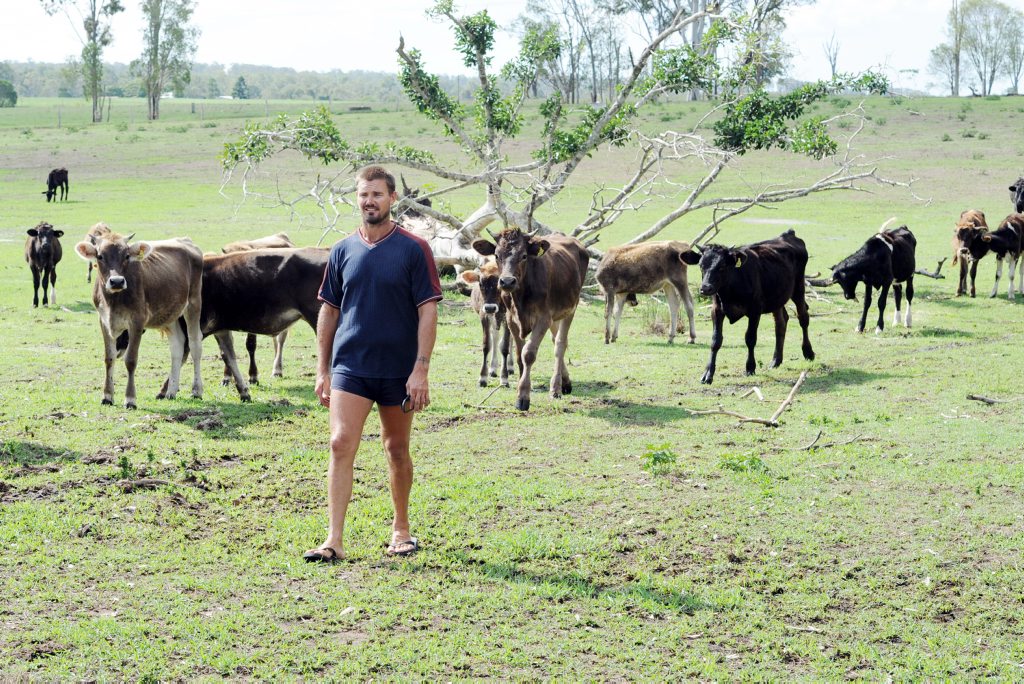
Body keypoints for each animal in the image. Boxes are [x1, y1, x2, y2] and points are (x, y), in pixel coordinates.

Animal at [75, 232, 203, 409]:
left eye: (127, 256)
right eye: (100, 256)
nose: (116, 281)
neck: (113, 301)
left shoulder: (137, 322)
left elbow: (130, 360)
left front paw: (130, 399)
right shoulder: (104, 321)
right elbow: (109, 358)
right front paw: (107, 396)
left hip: (193, 303)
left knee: (195, 344)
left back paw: (196, 390)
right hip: (170, 313)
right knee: (177, 346)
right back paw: (171, 391)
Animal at [456, 254, 512, 387]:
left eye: (500, 282)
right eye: (480, 284)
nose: (490, 307)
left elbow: (505, 346)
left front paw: (504, 378)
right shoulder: (484, 316)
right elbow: (487, 345)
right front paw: (483, 377)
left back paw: (510, 367)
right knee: (495, 338)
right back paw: (493, 368)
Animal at [468, 229, 585, 411]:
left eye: (524, 256)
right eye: (496, 255)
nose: (507, 281)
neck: (521, 295)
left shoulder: (543, 319)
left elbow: (528, 353)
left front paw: (523, 396)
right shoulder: (512, 320)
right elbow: (518, 355)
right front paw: (519, 387)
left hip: (571, 307)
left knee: (560, 344)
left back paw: (556, 388)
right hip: (555, 316)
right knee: (555, 339)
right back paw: (565, 382)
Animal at [679, 227, 815, 382]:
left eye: (722, 266)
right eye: (701, 266)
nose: (706, 288)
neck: (730, 291)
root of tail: (788, 234)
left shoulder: (755, 310)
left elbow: (750, 338)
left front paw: (750, 367)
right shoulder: (717, 310)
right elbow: (715, 341)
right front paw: (708, 373)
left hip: (798, 288)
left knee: (803, 317)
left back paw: (808, 352)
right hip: (777, 296)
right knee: (781, 322)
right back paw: (776, 360)